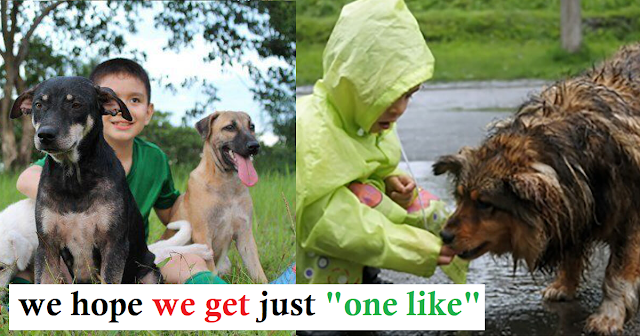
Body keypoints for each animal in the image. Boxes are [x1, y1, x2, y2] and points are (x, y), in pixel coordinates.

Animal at [10, 76, 162, 284]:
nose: (45, 135)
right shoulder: (47, 246)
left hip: (150, 273)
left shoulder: (113, 245)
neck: (74, 178)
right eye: (38, 105)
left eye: (76, 105)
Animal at [164, 111, 268, 284]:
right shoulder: (203, 236)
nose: (254, 146)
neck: (227, 183)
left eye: (251, 126)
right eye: (230, 127)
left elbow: (257, 270)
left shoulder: (245, 234)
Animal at [436, 44, 640, 334]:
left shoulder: (630, 216)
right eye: (460, 196)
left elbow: (618, 272)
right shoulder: (575, 207)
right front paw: (564, 285)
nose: (444, 235)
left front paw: (609, 314)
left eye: (485, 204)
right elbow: (572, 250)